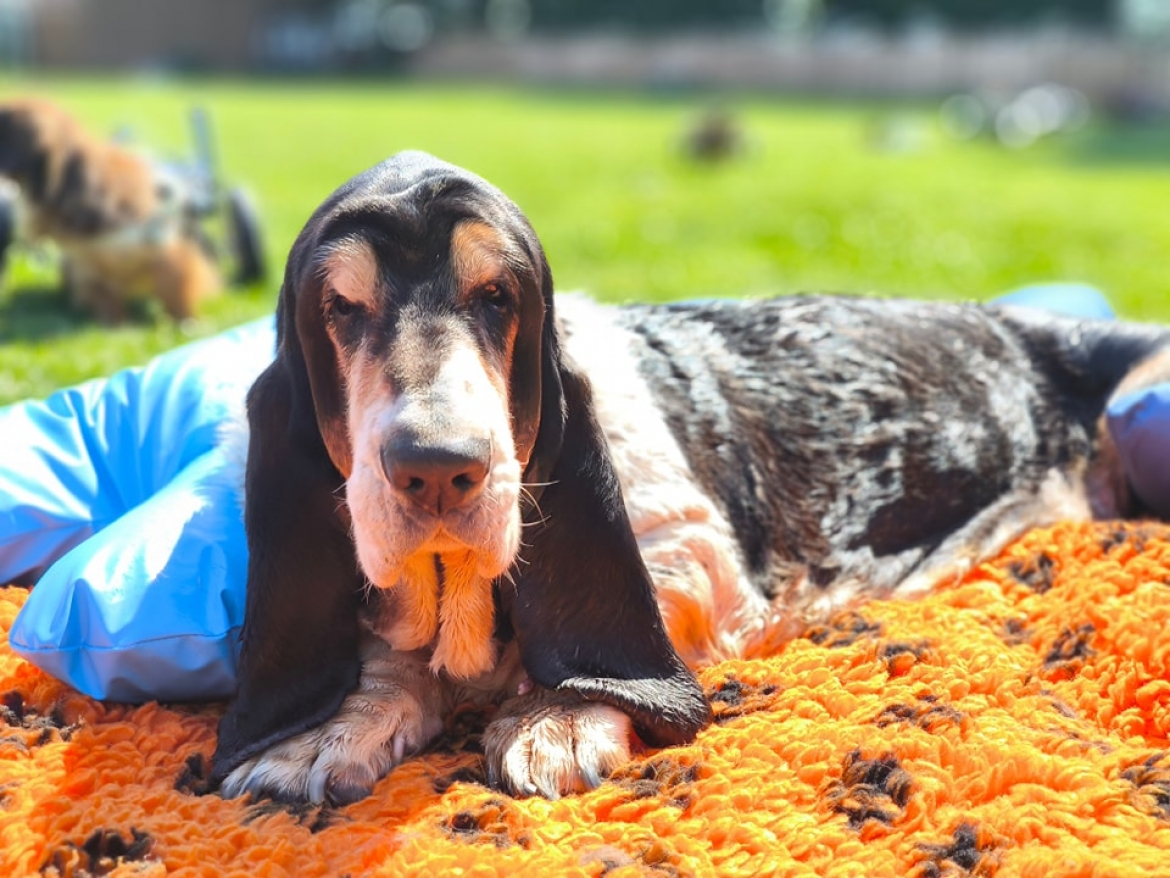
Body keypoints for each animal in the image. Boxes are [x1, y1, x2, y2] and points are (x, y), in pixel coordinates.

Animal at [0, 97, 219, 323]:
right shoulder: (87, 266)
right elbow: (106, 302)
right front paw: (115, 324)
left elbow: (177, 292)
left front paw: (187, 322)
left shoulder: (167, 251)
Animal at [210, 149, 1170, 805]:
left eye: (496, 298)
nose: (438, 467)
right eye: (341, 308)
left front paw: (555, 718)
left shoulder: (702, 561)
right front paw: (326, 729)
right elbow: (387, 653)